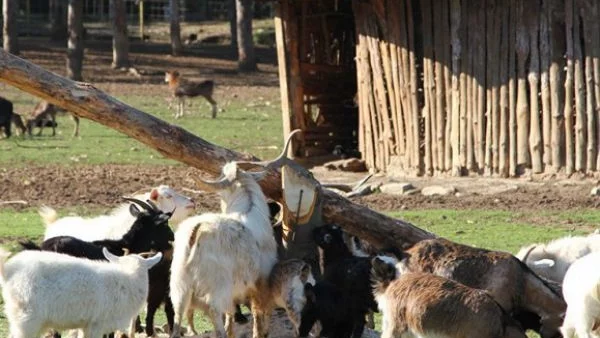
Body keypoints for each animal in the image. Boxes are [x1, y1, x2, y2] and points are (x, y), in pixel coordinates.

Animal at [170, 162, 278, 338]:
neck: (249, 209)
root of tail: (197, 229)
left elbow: (231, 310)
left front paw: (232, 331)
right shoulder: (261, 278)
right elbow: (259, 309)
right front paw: (260, 333)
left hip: (180, 282)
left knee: (178, 311)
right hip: (218, 284)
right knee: (214, 310)